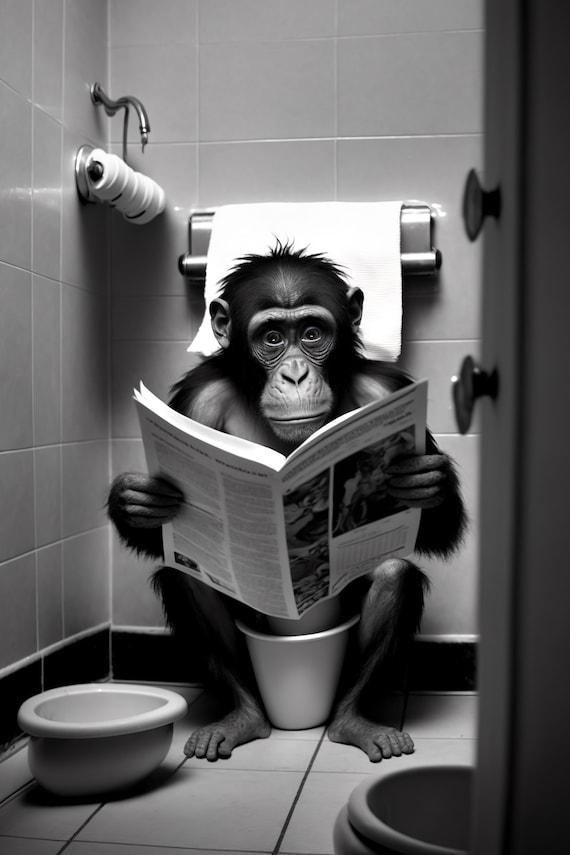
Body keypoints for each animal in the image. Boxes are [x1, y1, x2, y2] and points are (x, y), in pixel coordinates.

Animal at [108, 242, 467, 762]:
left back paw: (353, 721)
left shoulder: (387, 391)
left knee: (393, 574)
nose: (296, 374)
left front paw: (424, 479)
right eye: (273, 336)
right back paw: (242, 716)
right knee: (188, 576)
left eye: (313, 333)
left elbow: (436, 528)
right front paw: (137, 500)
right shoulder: (197, 402)